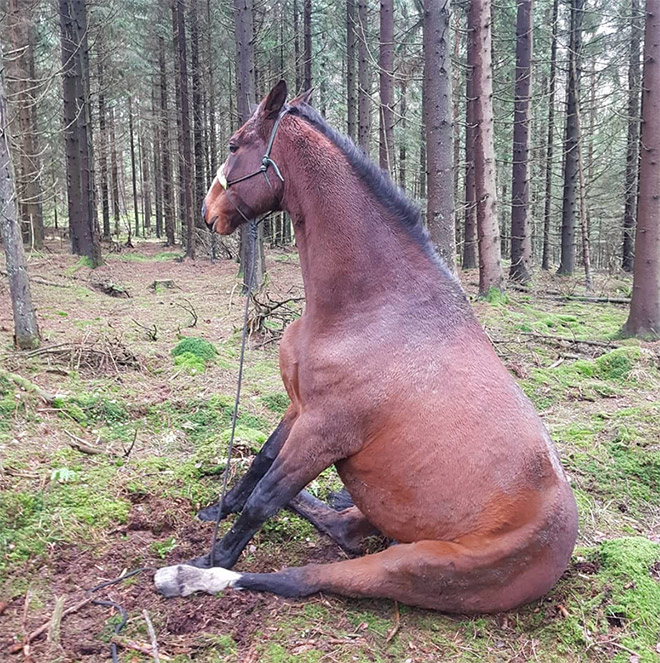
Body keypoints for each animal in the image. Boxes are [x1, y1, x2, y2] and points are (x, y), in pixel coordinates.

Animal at [156, 80, 576, 616]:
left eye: (234, 145)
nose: (208, 213)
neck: (371, 308)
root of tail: (560, 546)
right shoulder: (299, 408)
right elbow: (261, 462)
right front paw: (217, 507)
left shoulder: (323, 431)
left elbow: (265, 497)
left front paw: (216, 553)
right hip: (378, 519)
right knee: (338, 527)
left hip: (412, 566)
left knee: (303, 576)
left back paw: (189, 577)